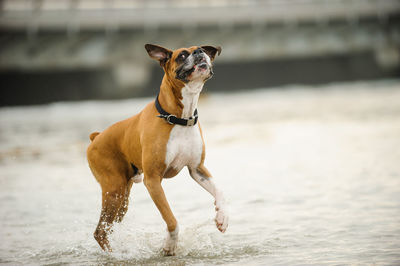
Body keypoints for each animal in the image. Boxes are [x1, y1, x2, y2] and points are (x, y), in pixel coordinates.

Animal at [86, 44, 228, 256]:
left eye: (202, 48)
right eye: (182, 55)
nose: (199, 53)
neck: (178, 118)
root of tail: (96, 137)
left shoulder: (197, 169)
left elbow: (220, 191)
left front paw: (222, 217)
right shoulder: (153, 181)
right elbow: (171, 219)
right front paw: (169, 245)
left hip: (122, 199)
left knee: (108, 227)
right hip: (114, 190)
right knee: (100, 231)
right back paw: (115, 254)